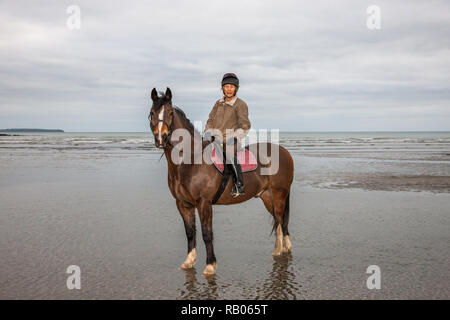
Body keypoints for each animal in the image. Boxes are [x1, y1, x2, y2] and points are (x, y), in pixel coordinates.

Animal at [149, 87, 296, 276]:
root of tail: (284, 152)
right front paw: (189, 261)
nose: (161, 138)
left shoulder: (203, 203)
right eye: (152, 113)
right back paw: (278, 250)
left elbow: (206, 234)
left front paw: (210, 265)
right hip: (267, 196)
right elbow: (190, 232)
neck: (190, 161)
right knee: (277, 220)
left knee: (282, 220)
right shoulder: (183, 204)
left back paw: (286, 249)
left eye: (170, 112)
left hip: (280, 195)